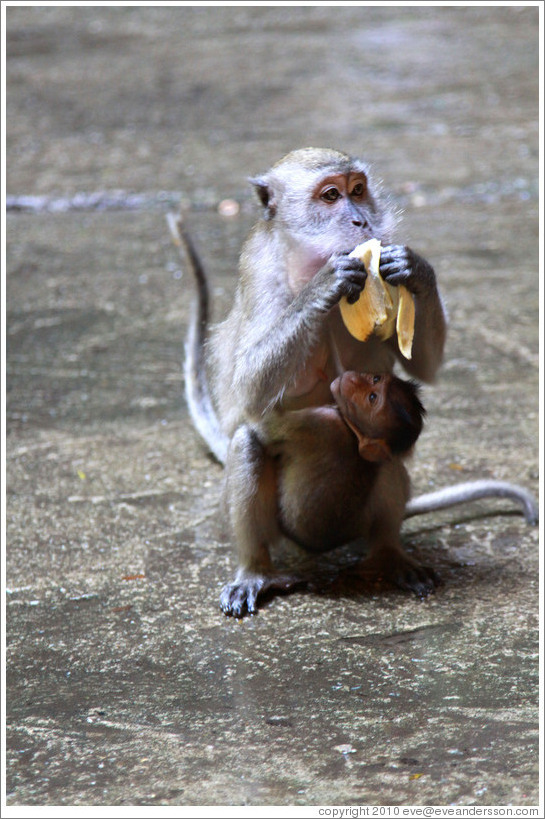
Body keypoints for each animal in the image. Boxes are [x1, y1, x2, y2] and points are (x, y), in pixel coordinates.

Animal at [168, 147, 536, 620]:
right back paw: (256, 571)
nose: (361, 221)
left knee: (388, 459)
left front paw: (417, 270)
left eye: (358, 190)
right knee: (247, 444)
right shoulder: (262, 279)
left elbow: (425, 367)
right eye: (330, 196)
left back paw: (389, 556)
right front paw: (324, 286)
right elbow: (249, 389)